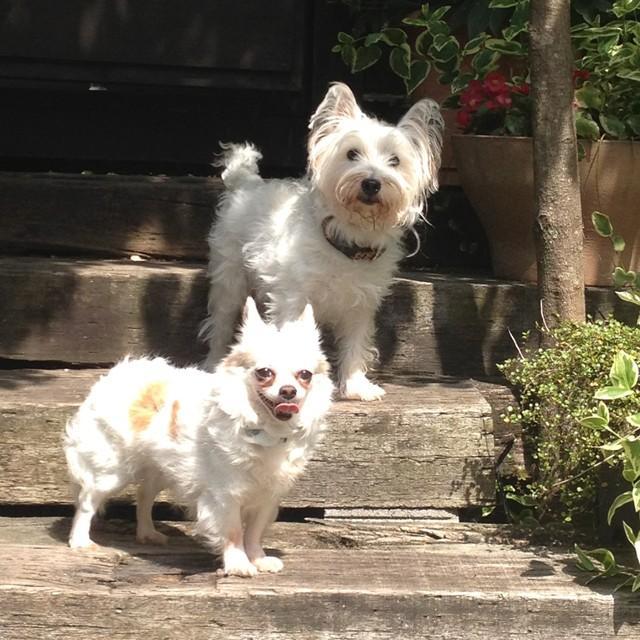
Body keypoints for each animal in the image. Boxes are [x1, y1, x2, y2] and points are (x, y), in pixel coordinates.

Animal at [64, 298, 332, 576]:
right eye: (265, 372)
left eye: (305, 375)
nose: (288, 391)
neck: (267, 430)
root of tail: (117, 373)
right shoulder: (225, 496)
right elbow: (234, 533)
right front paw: (239, 564)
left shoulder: (268, 496)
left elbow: (254, 532)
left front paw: (258, 558)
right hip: (111, 472)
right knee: (87, 501)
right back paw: (81, 541)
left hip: (161, 469)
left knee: (144, 495)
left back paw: (147, 533)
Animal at [202, 80, 442, 400]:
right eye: (352, 154)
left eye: (395, 161)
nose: (372, 182)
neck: (346, 244)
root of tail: (246, 183)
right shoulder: (292, 299)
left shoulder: (361, 305)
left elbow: (355, 343)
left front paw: (356, 387)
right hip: (230, 278)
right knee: (221, 323)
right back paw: (213, 365)